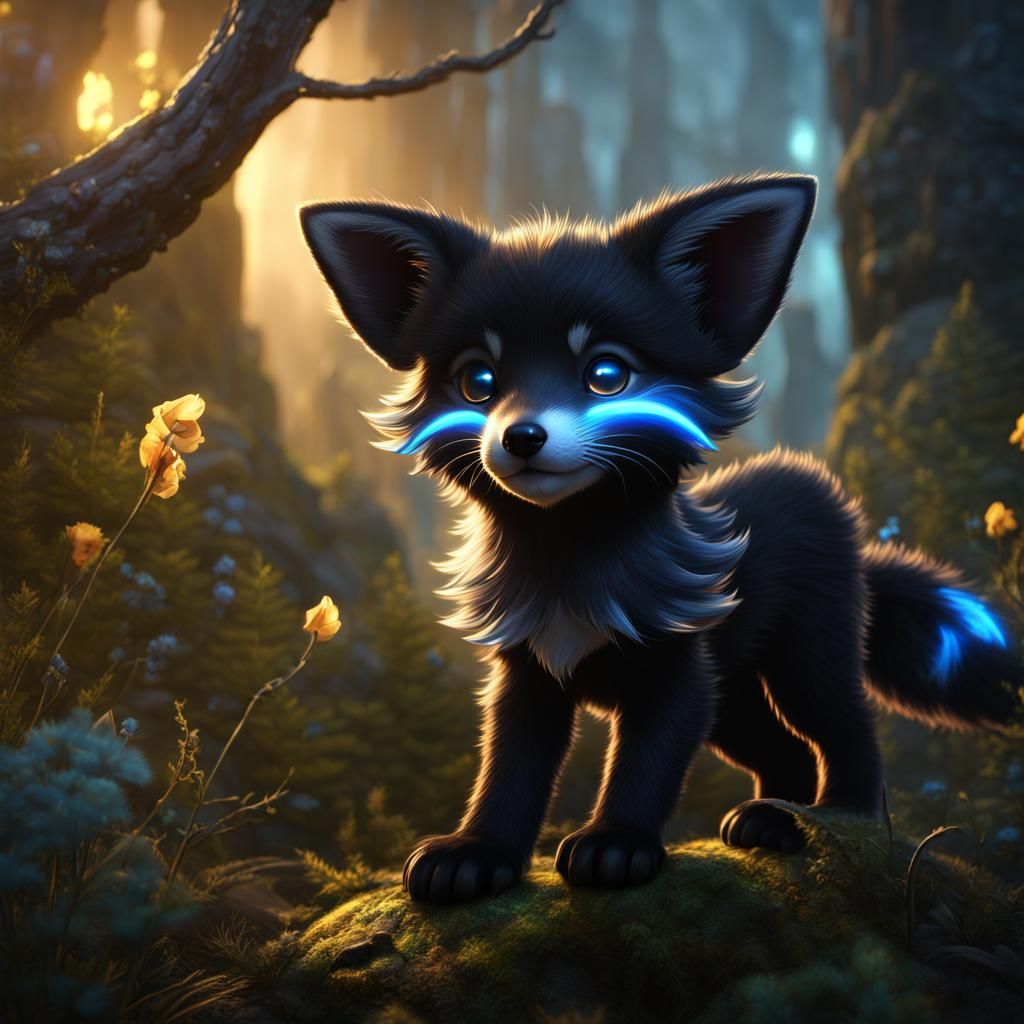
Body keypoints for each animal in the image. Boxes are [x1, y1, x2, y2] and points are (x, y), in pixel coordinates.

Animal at [300, 173, 1021, 904]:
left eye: (607, 375)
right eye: (478, 381)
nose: (521, 436)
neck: (567, 560)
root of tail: (833, 505)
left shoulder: (675, 670)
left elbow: (645, 764)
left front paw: (617, 846)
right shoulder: (528, 674)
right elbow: (508, 773)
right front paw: (477, 854)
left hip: (804, 659)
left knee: (846, 726)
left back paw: (845, 817)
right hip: (734, 698)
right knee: (785, 750)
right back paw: (771, 822)